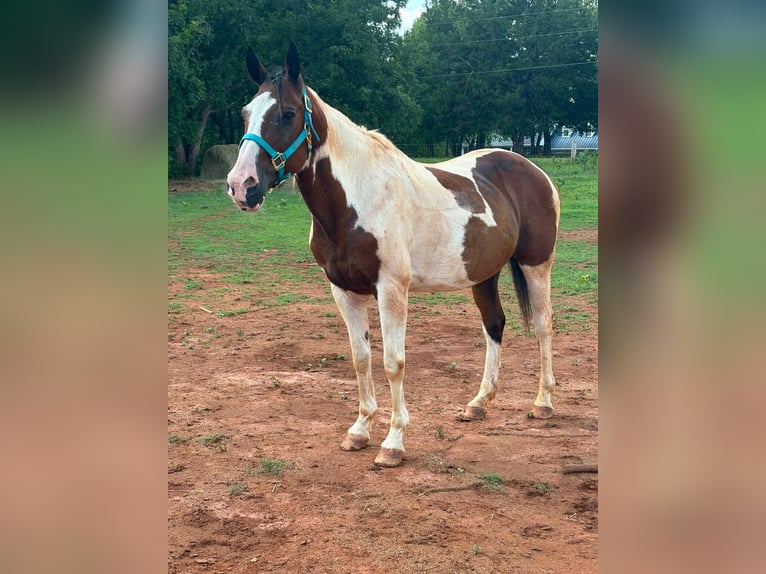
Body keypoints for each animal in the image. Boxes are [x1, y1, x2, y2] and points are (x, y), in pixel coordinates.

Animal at [226, 42, 560, 468]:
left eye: (287, 114)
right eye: (245, 113)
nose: (242, 186)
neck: (357, 198)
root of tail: (532, 169)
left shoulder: (391, 289)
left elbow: (392, 362)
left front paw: (393, 443)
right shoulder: (343, 291)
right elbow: (361, 359)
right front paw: (359, 431)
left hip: (537, 265)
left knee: (543, 326)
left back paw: (543, 403)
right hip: (483, 274)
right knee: (494, 325)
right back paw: (479, 403)